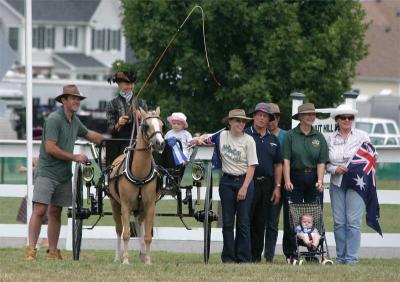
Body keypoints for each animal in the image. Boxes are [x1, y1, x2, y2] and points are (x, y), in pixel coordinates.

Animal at [108, 106, 164, 264]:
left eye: (162, 125)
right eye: (146, 126)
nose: (160, 143)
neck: (139, 174)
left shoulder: (150, 205)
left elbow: (147, 235)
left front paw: (148, 260)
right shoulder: (125, 205)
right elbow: (126, 233)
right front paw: (126, 260)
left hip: (140, 209)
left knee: (139, 227)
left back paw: (143, 254)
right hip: (115, 204)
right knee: (119, 230)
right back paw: (117, 257)